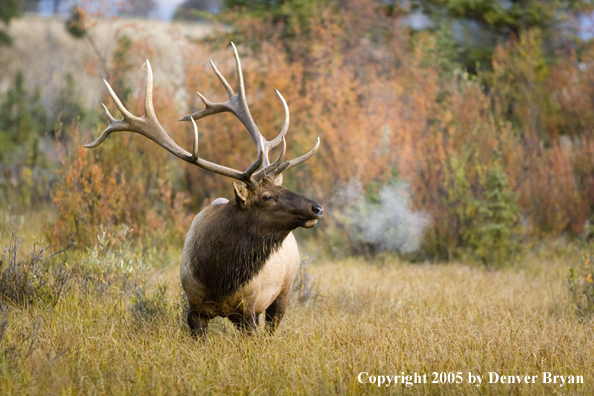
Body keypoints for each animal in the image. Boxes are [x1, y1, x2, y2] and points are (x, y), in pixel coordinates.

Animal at [84, 44, 320, 338]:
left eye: (282, 186)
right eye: (267, 196)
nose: (316, 207)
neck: (218, 277)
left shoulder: (249, 308)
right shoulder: (195, 309)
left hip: (284, 291)